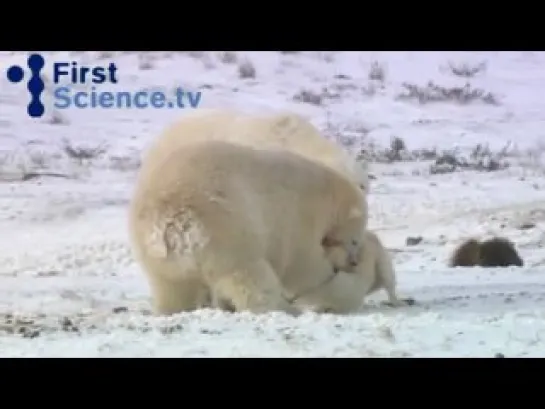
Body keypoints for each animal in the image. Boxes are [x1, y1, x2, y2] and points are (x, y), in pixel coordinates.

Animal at [129, 139, 366, 316]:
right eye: (355, 239)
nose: (353, 262)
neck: (326, 192)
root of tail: (170, 219)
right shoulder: (299, 216)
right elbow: (303, 263)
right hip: (227, 231)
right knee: (249, 275)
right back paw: (277, 308)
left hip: (158, 258)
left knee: (172, 288)